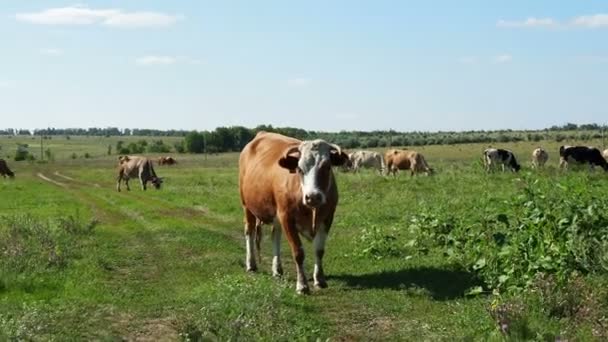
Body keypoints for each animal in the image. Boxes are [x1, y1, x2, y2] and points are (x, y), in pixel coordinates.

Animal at [240, 131, 350, 294]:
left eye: (327, 167)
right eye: (299, 169)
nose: (313, 197)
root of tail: (261, 133)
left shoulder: (327, 217)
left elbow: (319, 250)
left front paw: (320, 280)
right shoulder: (287, 217)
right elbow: (298, 252)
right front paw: (302, 285)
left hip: (276, 214)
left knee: (275, 235)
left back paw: (277, 269)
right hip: (247, 206)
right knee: (250, 231)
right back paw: (251, 264)